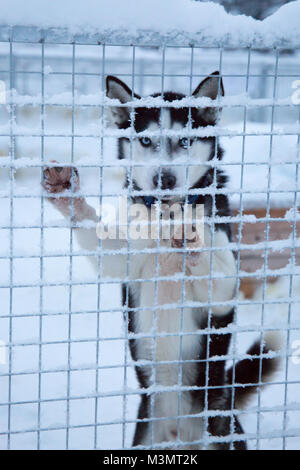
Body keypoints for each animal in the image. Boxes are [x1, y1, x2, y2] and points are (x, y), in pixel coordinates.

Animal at [42, 71, 278, 450]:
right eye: (146, 140)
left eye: (184, 140)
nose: (163, 178)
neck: (167, 220)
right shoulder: (124, 257)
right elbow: (102, 243)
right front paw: (69, 196)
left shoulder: (223, 288)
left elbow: (219, 273)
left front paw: (194, 235)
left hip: (220, 428)